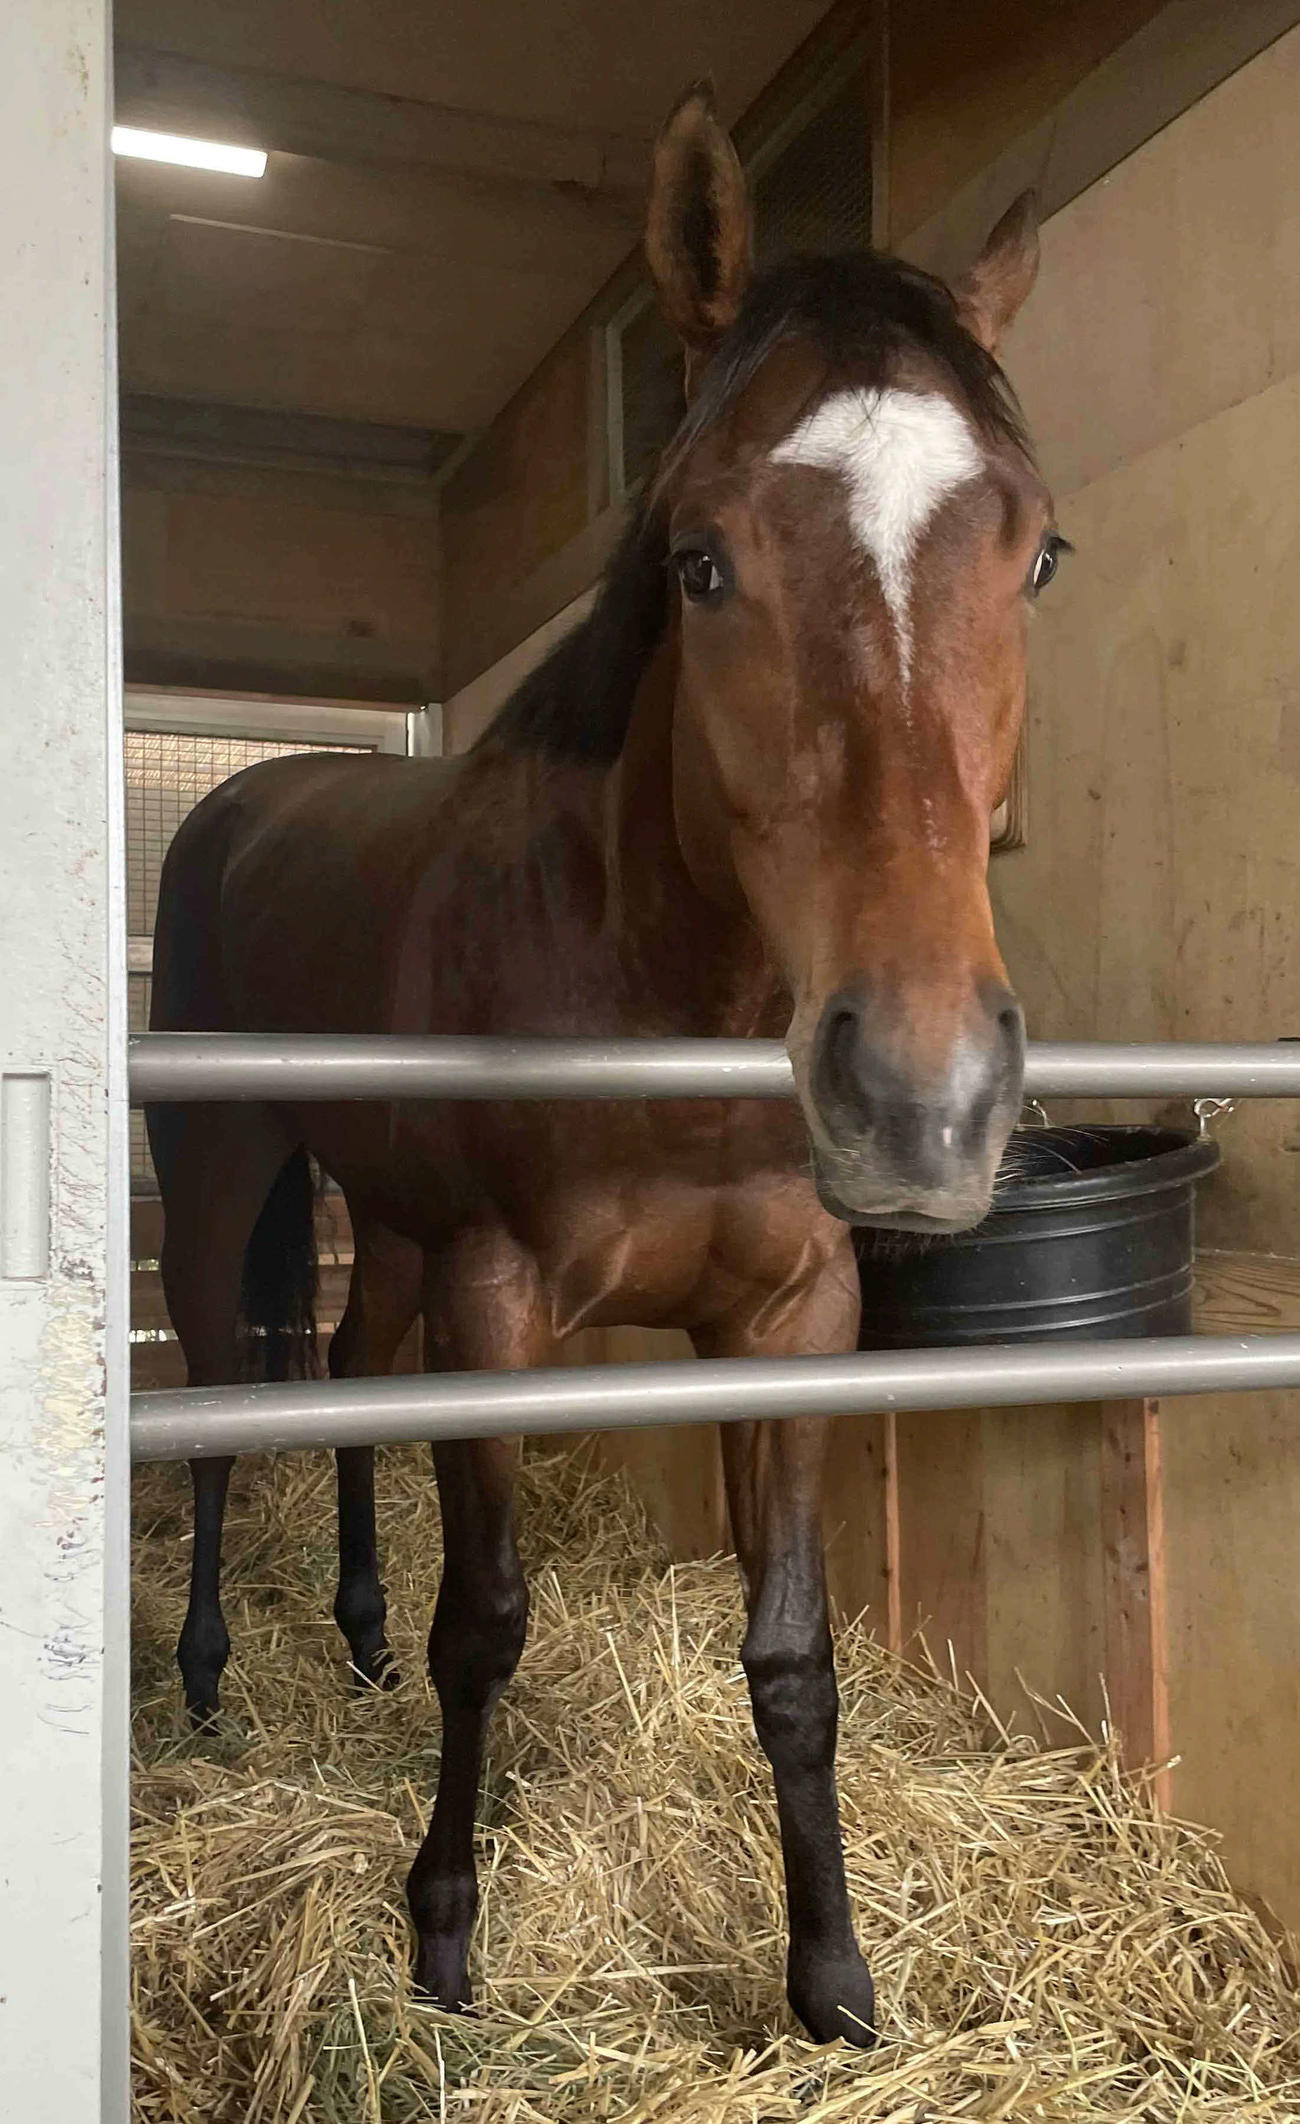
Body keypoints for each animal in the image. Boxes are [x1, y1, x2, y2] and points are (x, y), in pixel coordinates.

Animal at [147, 83, 1059, 2046]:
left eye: (1037, 552)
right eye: (702, 560)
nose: (923, 1095)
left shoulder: (793, 1320)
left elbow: (790, 1658)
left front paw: (831, 1974)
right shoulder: (497, 1303)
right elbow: (486, 1621)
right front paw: (441, 1928)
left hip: (388, 1224)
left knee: (344, 1371)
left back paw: (343, 1629)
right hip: (226, 1171)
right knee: (223, 1399)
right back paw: (203, 1672)